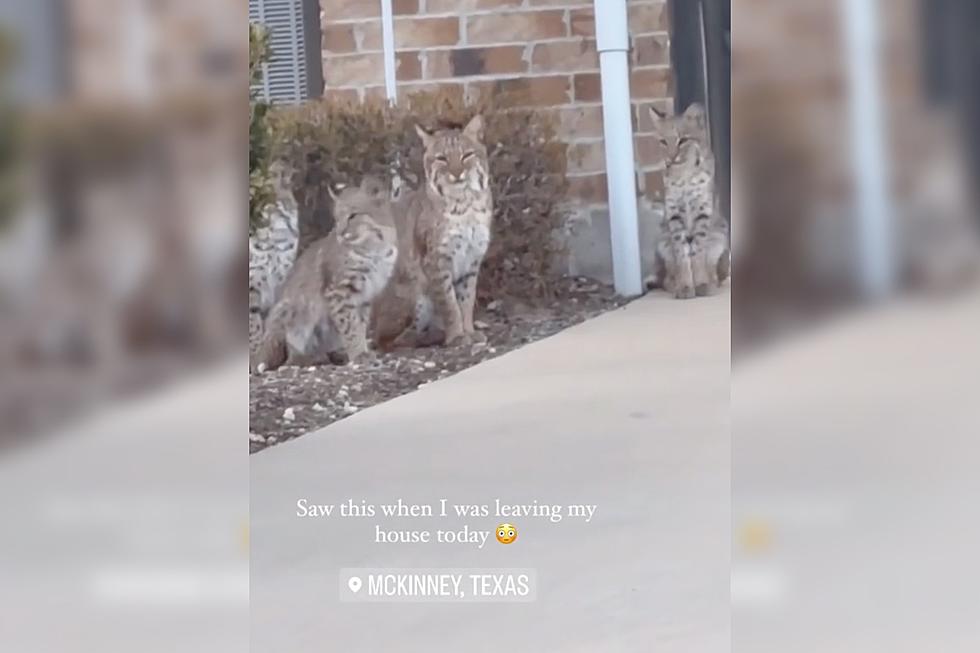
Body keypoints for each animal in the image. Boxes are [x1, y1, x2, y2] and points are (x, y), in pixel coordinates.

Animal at [253, 177, 398, 372]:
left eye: (353, 215)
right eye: (337, 218)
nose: (340, 233)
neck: (373, 246)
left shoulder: (366, 294)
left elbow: (360, 324)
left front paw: (360, 351)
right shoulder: (338, 290)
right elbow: (350, 325)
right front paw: (359, 354)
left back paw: (336, 354)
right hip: (293, 308)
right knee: (285, 357)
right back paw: (309, 358)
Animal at [376, 113, 498, 346]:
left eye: (467, 155)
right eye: (442, 159)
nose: (457, 174)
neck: (465, 202)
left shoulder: (472, 256)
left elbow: (466, 299)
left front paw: (468, 331)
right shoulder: (436, 259)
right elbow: (449, 302)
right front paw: (457, 336)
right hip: (411, 290)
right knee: (389, 341)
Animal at [652, 103, 728, 296]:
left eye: (683, 140)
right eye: (663, 142)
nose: (671, 158)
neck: (683, 174)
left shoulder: (703, 210)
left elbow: (698, 251)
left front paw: (701, 283)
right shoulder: (674, 214)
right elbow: (681, 253)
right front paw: (685, 286)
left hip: (721, 231)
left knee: (716, 270)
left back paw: (712, 281)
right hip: (662, 238)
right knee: (666, 276)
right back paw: (673, 284)